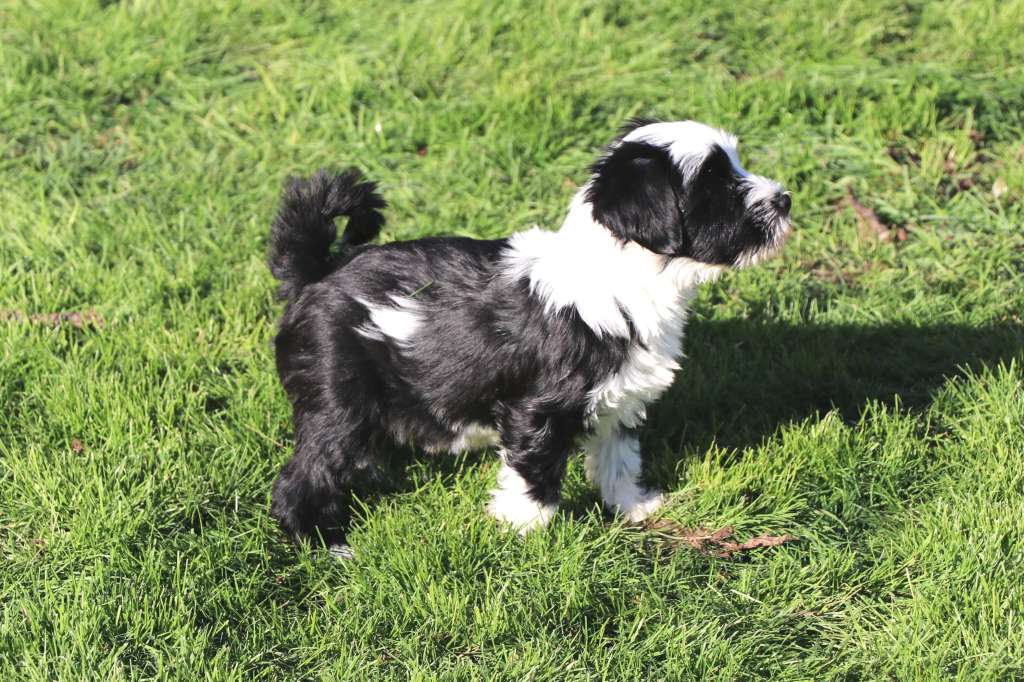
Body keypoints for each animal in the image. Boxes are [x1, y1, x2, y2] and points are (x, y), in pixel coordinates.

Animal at [267, 119, 791, 555]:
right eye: (714, 185)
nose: (784, 199)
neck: (620, 276)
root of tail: (318, 271)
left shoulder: (620, 398)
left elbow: (619, 458)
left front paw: (632, 506)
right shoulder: (539, 409)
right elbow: (534, 472)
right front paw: (523, 533)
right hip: (339, 398)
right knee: (302, 477)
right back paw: (327, 544)